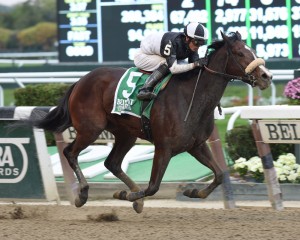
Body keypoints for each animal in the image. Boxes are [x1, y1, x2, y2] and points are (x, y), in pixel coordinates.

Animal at [27, 31, 272, 212]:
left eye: (252, 50)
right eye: (240, 53)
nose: (266, 76)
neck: (191, 97)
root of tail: (80, 81)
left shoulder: (196, 145)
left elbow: (220, 174)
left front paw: (193, 191)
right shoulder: (164, 147)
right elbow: (153, 186)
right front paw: (126, 195)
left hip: (126, 134)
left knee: (112, 163)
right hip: (90, 129)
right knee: (70, 152)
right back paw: (83, 194)